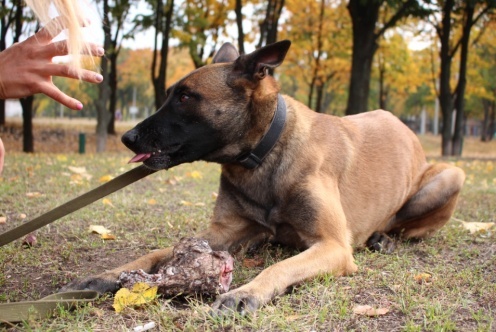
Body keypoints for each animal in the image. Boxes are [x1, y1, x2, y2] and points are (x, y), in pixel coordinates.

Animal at [65, 40, 464, 314]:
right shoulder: (219, 234)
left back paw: (385, 239)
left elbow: (281, 268)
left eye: (186, 97)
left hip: (450, 177)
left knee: (406, 226)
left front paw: (245, 292)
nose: (128, 138)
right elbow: (153, 253)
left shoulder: (333, 246)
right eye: (169, 94)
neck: (262, 156)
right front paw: (108, 274)